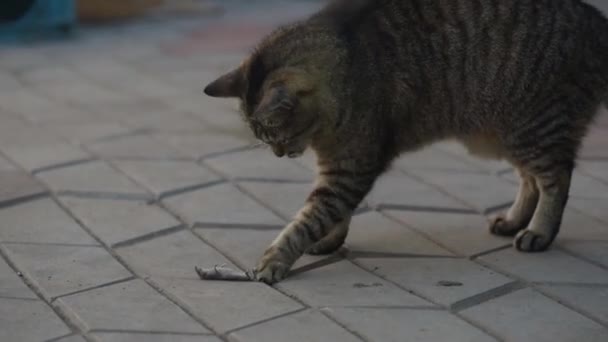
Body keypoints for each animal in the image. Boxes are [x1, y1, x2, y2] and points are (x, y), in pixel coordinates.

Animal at [205, 0, 608, 284]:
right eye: (265, 139)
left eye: (277, 136)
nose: (278, 153)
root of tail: (596, 19)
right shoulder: (338, 169)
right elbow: (331, 214)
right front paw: (330, 240)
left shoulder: (350, 169)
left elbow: (309, 218)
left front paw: (276, 259)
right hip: (504, 136)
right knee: (530, 179)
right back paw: (514, 221)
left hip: (533, 129)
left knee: (556, 178)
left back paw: (539, 231)